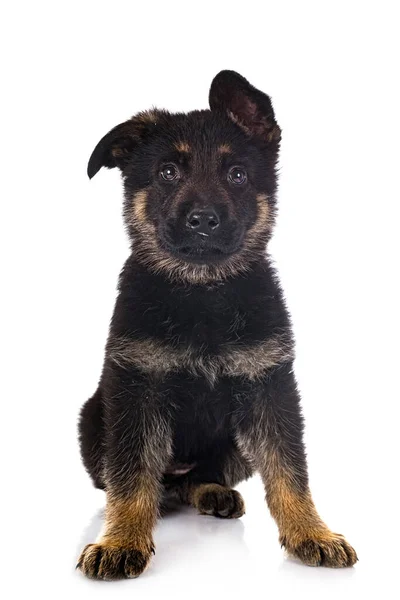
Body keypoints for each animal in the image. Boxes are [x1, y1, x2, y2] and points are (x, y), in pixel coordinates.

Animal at [76, 71, 358, 580]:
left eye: (237, 175)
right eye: (168, 172)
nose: (203, 221)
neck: (203, 290)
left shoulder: (269, 387)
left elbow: (289, 469)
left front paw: (311, 533)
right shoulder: (136, 387)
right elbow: (130, 473)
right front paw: (121, 538)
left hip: (235, 443)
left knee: (199, 478)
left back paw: (211, 493)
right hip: (94, 419)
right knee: (147, 481)